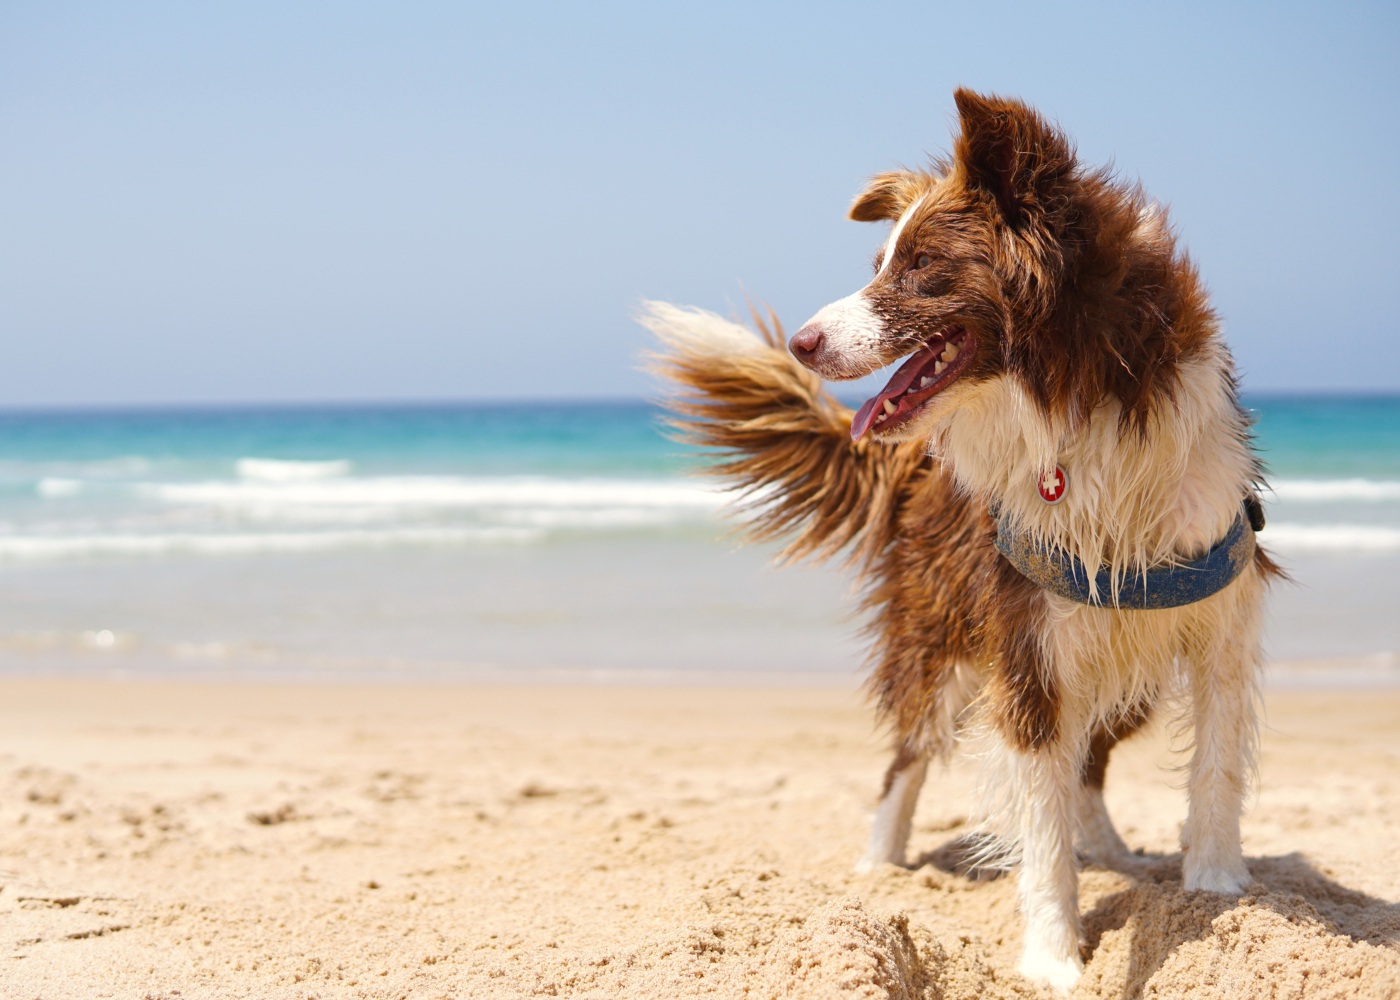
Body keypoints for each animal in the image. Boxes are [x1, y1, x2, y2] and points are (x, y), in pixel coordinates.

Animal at [644, 87, 1282, 991]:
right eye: (880, 261)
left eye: (918, 267)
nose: (801, 343)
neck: (1077, 398)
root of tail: (912, 459)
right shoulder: (1026, 640)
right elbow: (1039, 828)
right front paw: (1053, 960)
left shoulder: (1218, 614)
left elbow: (1215, 764)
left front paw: (1218, 888)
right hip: (936, 634)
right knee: (909, 754)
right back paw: (879, 864)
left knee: (1088, 760)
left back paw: (1110, 850)